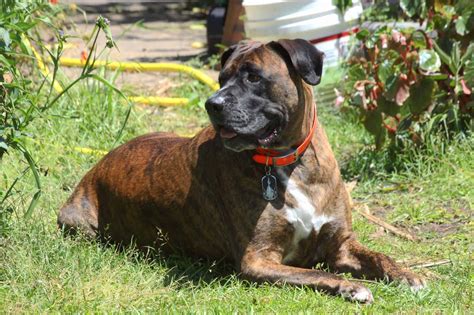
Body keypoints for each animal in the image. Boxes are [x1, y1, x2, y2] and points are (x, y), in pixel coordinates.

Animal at [56, 38, 426, 302]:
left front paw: (408, 275)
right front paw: (349, 286)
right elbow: (316, 274)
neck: (288, 163)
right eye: (221, 78)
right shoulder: (258, 260)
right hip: (78, 223)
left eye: (253, 77)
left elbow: (380, 256)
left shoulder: (341, 245)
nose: (212, 104)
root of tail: (97, 167)